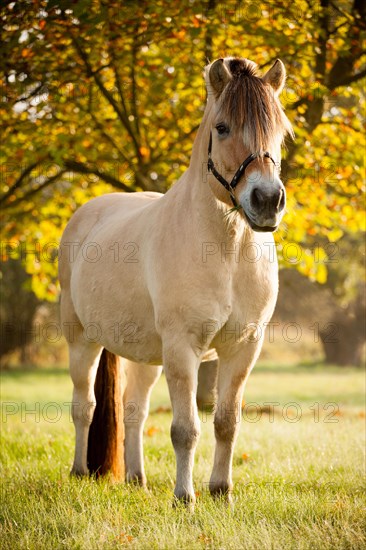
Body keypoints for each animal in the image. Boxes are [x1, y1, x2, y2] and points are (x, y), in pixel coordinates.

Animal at [60, 57, 294, 508]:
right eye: (222, 127)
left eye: (280, 130)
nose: (267, 201)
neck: (225, 252)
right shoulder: (183, 348)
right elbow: (185, 429)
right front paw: (184, 498)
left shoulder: (243, 348)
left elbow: (226, 422)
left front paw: (221, 492)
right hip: (83, 341)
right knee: (85, 406)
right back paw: (79, 471)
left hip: (146, 355)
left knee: (134, 409)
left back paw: (137, 478)